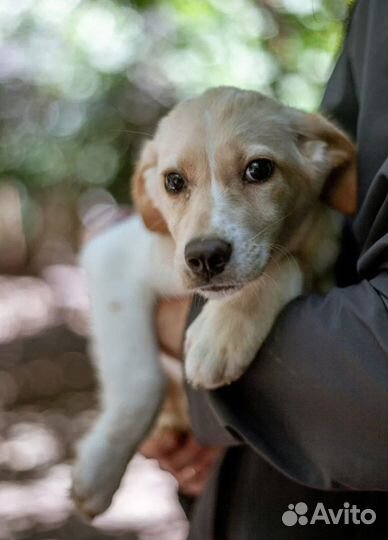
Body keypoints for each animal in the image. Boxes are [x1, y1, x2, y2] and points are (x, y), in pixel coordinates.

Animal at [71, 86, 356, 516]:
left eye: (259, 170)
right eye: (173, 181)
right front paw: (99, 472)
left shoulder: (322, 272)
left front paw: (221, 337)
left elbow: (285, 266)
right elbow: (142, 380)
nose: (204, 257)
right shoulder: (114, 258)